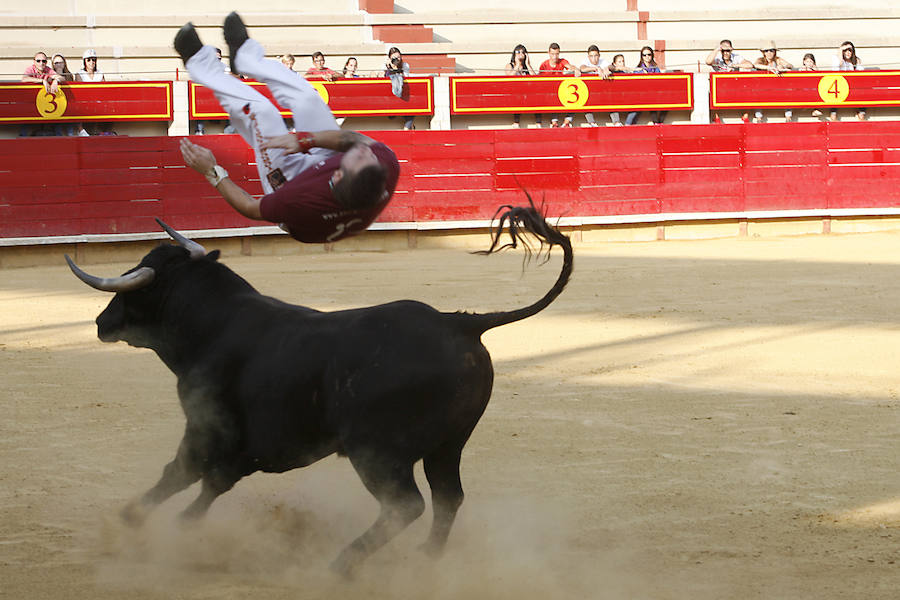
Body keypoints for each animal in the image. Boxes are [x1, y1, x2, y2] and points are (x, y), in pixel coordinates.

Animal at [67, 206, 572, 576]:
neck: (214, 324)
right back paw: (426, 559)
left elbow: (181, 472)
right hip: (447, 447)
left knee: (404, 505)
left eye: (133, 290)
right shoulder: (250, 445)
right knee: (448, 498)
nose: (101, 321)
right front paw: (174, 525)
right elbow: (212, 481)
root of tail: (460, 322)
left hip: (377, 451)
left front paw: (133, 521)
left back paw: (341, 565)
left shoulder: (207, 424)